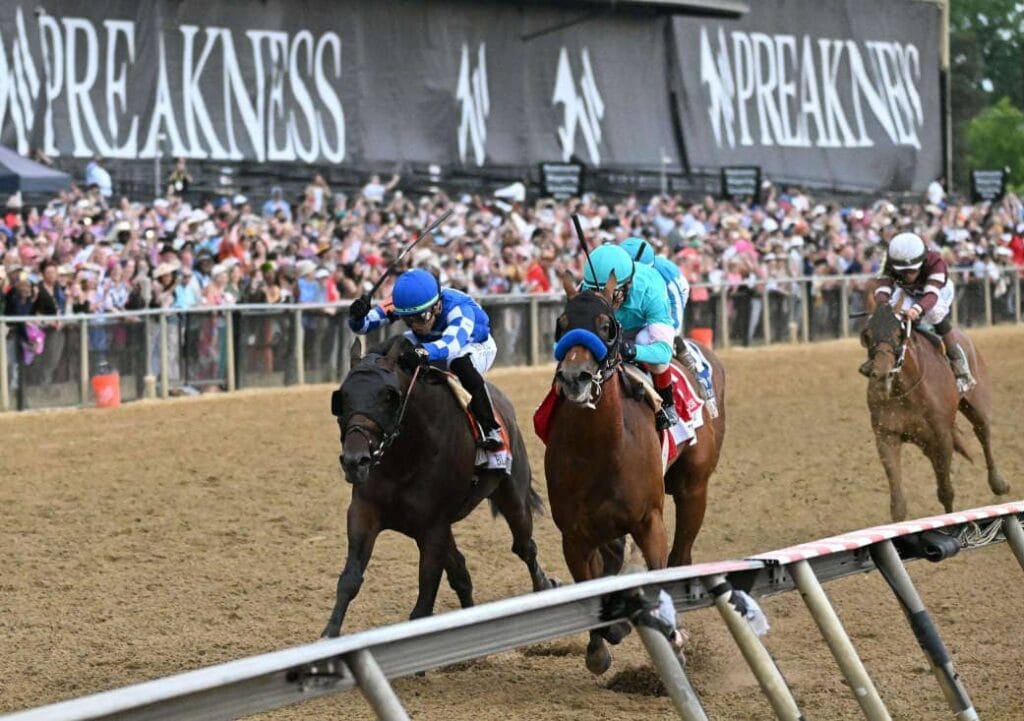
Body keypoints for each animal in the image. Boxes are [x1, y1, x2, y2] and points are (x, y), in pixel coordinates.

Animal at [322, 336, 555, 637]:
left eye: (388, 396)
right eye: (344, 397)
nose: (355, 461)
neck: (403, 459)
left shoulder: (433, 527)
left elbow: (424, 600)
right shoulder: (365, 511)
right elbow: (350, 579)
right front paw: (328, 635)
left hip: (512, 495)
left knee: (525, 546)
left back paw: (545, 586)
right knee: (461, 571)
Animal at [543, 272, 726, 674]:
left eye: (607, 327)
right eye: (561, 324)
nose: (575, 378)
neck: (599, 449)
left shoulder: (649, 521)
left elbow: (659, 572)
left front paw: (675, 642)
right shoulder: (575, 534)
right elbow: (592, 590)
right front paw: (602, 643)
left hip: (693, 487)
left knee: (680, 555)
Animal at [859, 303, 1009, 521]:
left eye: (898, 334)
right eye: (868, 335)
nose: (881, 375)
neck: (904, 390)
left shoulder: (942, 437)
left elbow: (946, 491)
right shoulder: (887, 435)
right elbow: (898, 504)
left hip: (977, 403)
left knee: (983, 432)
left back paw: (998, 483)